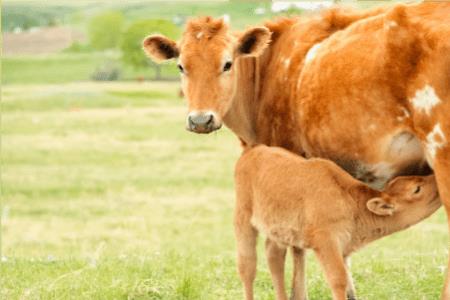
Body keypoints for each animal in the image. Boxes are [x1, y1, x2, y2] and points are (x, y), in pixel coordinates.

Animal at [234, 145, 442, 298]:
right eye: (416, 189)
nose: (437, 180)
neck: (351, 202)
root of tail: (253, 151)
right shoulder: (326, 242)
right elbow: (338, 280)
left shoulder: (344, 249)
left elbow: (350, 286)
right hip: (243, 219)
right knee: (247, 267)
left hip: (278, 231)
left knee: (274, 258)